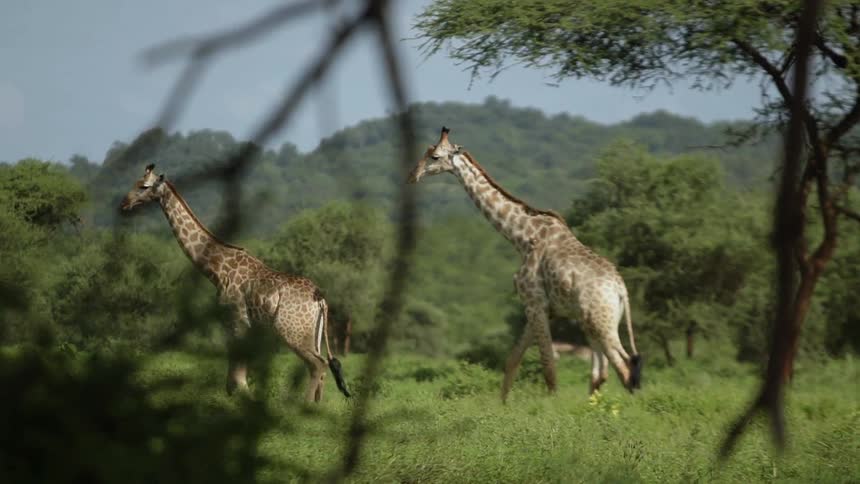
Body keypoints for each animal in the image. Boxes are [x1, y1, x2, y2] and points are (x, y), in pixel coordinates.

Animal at [120, 163, 350, 402]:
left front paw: (239, 394)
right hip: (312, 334)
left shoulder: (235, 317)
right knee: (323, 367)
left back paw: (302, 405)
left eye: (144, 186)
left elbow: (236, 364)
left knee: (317, 365)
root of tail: (320, 299)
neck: (217, 270)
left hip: (291, 331)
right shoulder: (244, 323)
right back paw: (315, 405)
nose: (124, 204)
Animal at [408, 128, 642, 400]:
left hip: (600, 322)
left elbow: (549, 367)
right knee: (602, 373)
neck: (521, 237)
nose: (412, 175)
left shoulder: (534, 303)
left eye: (434, 156)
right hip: (593, 322)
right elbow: (512, 361)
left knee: (625, 368)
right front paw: (502, 406)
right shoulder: (538, 308)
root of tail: (621, 290)